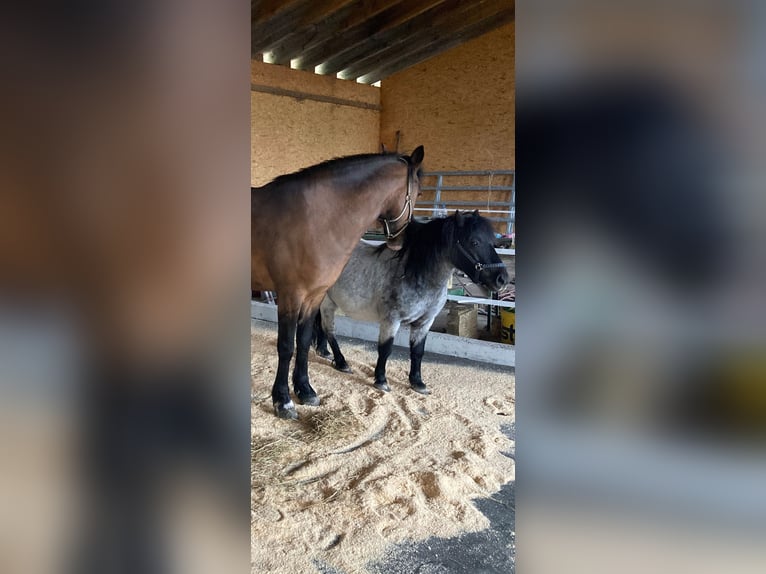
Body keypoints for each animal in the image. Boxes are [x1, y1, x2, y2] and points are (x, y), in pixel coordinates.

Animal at [254, 146, 426, 420]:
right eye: (418, 192)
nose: (399, 243)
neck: (314, 219)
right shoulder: (290, 295)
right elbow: (286, 346)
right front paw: (283, 401)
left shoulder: (314, 296)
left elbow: (304, 342)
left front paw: (305, 391)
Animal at [316, 212, 510, 396]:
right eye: (474, 242)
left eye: (492, 242)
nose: (502, 279)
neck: (414, 273)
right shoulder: (391, 320)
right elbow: (385, 349)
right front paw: (381, 380)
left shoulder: (424, 322)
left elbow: (417, 351)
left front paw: (417, 383)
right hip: (327, 303)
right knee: (329, 330)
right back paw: (341, 362)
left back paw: (324, 352)